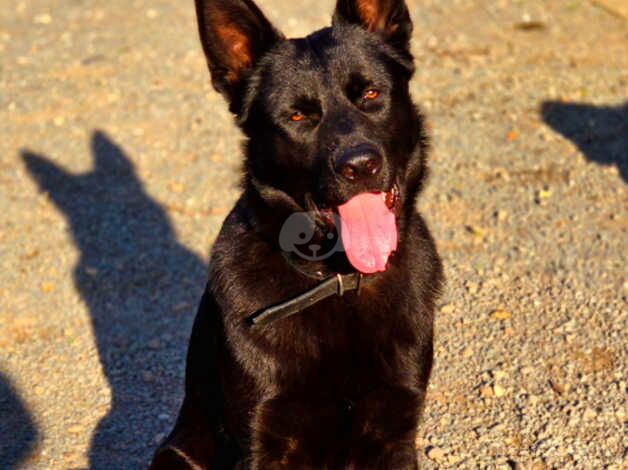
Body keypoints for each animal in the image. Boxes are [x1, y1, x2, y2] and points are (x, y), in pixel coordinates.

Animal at [151, 0, 442, 466]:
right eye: (298, 116)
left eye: (371, 95)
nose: (360, 166)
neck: (339, 279)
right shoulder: (264, 444)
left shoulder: (394, 436)